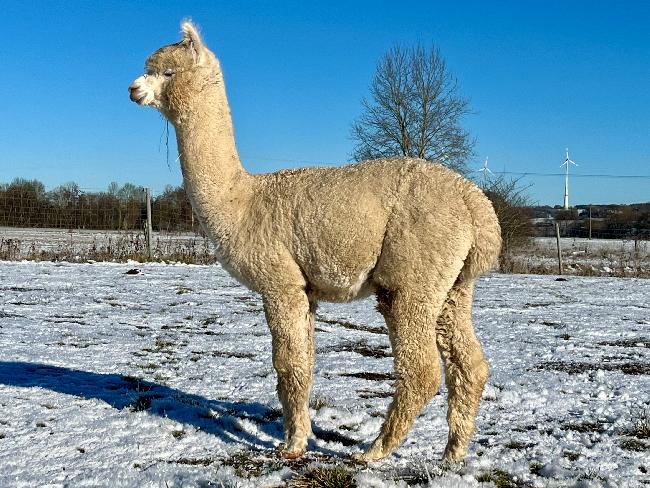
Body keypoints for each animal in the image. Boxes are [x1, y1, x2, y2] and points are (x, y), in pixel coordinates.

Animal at [128, 21, 501, 463]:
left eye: (167, 72)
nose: (132, 89)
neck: (242, 200)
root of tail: (476, 204)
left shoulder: (280, 282)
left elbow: (287, 366)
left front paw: (290, 447)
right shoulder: (306, 290)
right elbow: (305, 365)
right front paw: (299, 436)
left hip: (413, 275)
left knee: (421, 370)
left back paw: (374, 451)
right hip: (453, 284)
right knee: (471, 365)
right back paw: (452, 454)